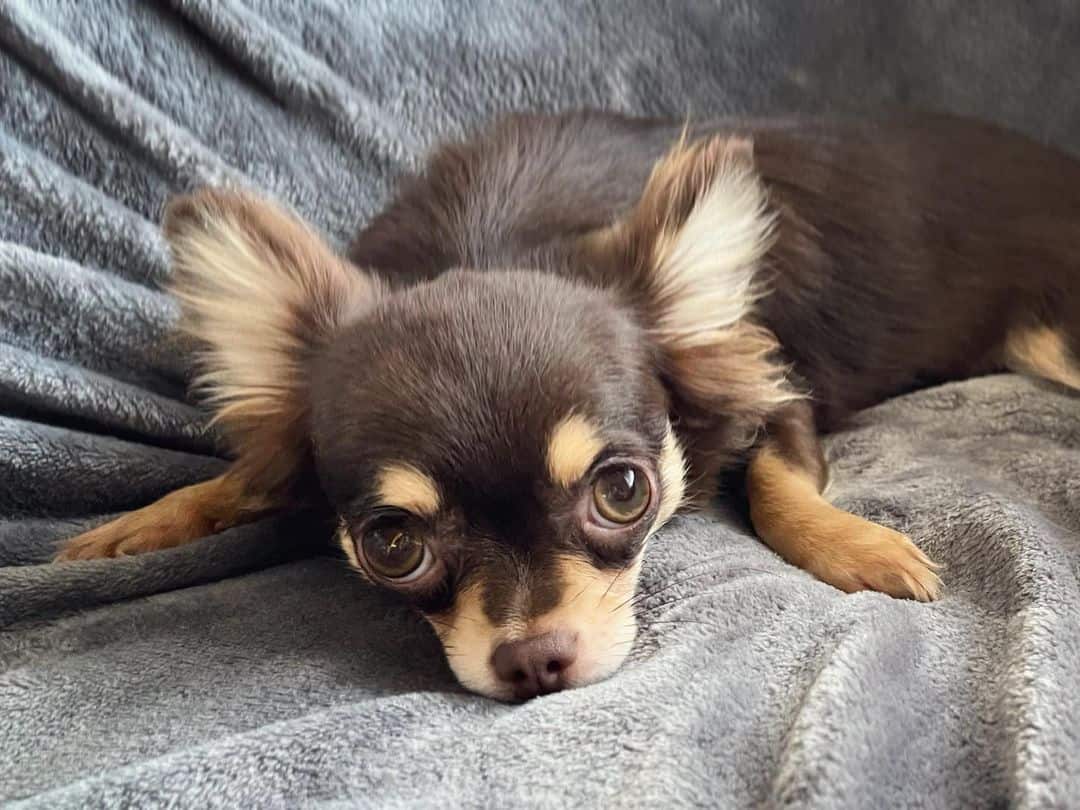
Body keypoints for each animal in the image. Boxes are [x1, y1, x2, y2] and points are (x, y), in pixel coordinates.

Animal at [56, 114, 1080, 704]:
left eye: (623, 490)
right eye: (392, 544)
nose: (533, 661)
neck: (493, 233)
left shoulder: (773, 384)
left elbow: (777, 484)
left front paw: (857, 545)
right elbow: (241, 478)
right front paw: (143, 524)